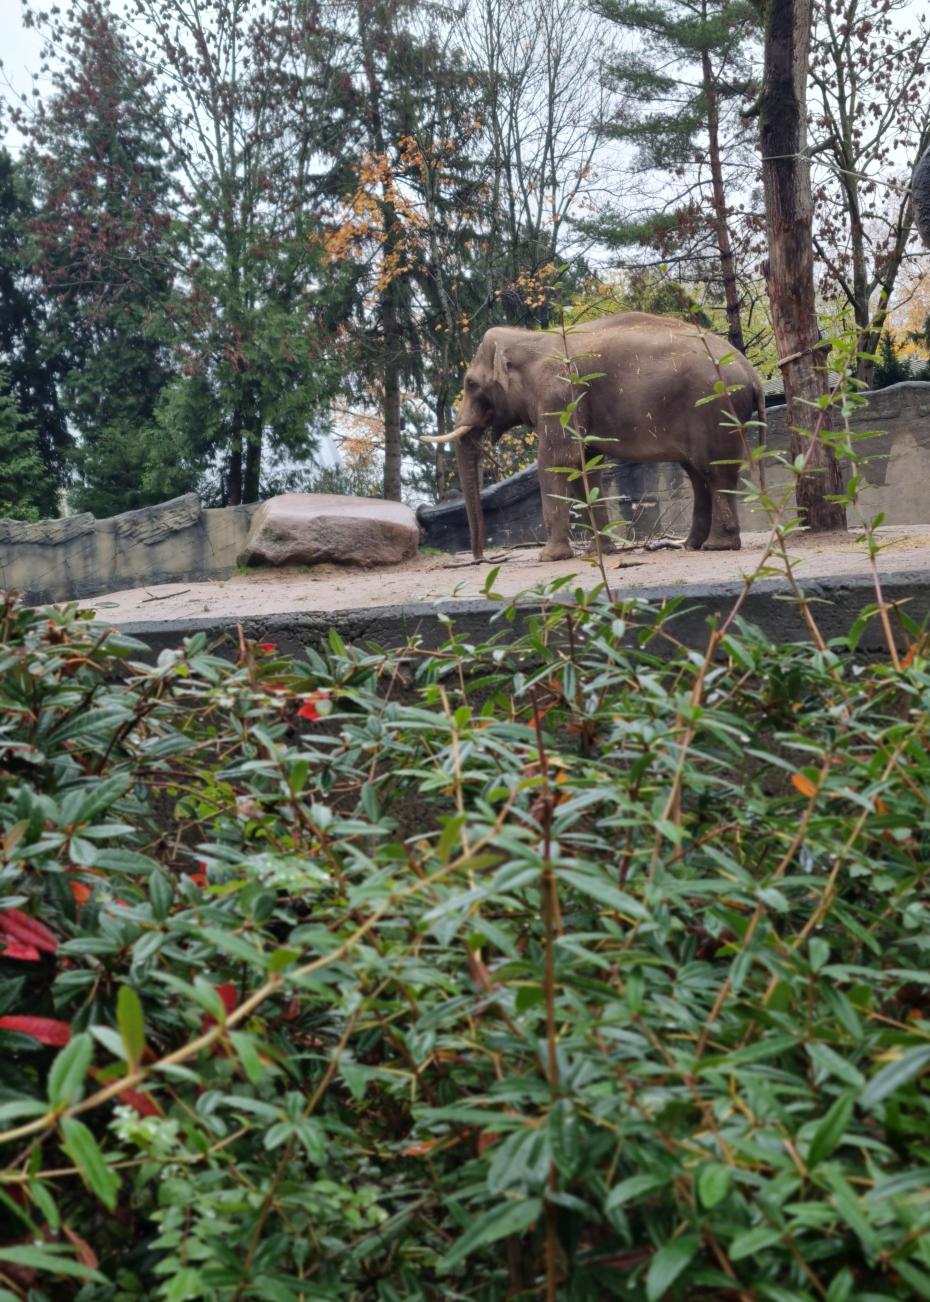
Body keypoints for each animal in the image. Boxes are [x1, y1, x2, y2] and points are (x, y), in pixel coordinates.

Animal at [425, 314, 765, 561]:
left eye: (470, 384)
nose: (480, 558)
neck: (533, 337)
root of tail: (752, 374)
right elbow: (584, 464)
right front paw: (600, 552)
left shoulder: (560, 394)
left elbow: (556, 460)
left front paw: (550, 557)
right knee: (696, 473)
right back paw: (691, 545)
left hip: (717, 407)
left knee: (716, 469)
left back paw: (717, 546)